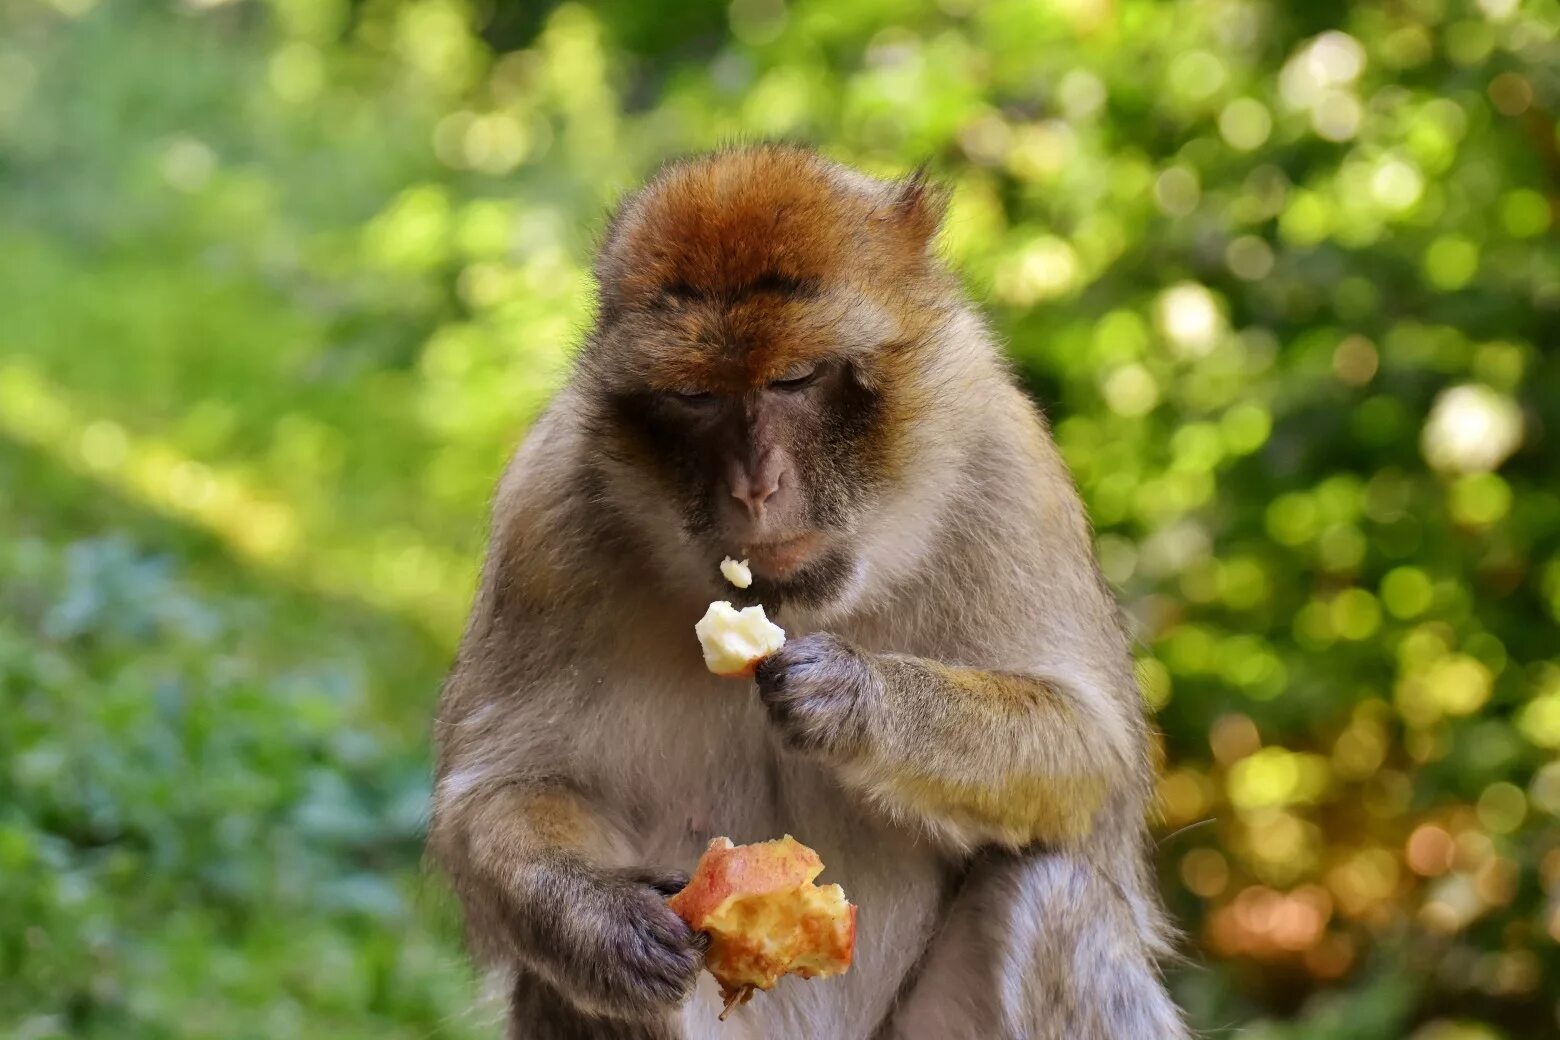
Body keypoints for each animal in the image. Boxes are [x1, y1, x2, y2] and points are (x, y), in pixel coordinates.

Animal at [427, 146, 1179, 1040]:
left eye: (795, 378)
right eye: (696, 396)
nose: (755, 487)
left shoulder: (1007, 467)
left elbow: (1093, 753)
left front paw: (856, 698)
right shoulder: (541, 517)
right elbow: (497, 792)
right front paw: (602, 925)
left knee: (1053, 892)